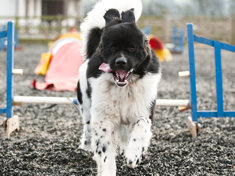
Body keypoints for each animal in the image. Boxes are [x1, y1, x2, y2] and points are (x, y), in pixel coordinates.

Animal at [78, 0, 161, 175]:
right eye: (113, 48)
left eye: (132, 48)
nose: (121, 62)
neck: (124, 87)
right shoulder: (103, 119)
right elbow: (105, 150)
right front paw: (108, 169)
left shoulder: (143, 111)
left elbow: (141, 128)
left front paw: (133, 155)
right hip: (87, 108)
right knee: (88, 128)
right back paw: (86, 146)